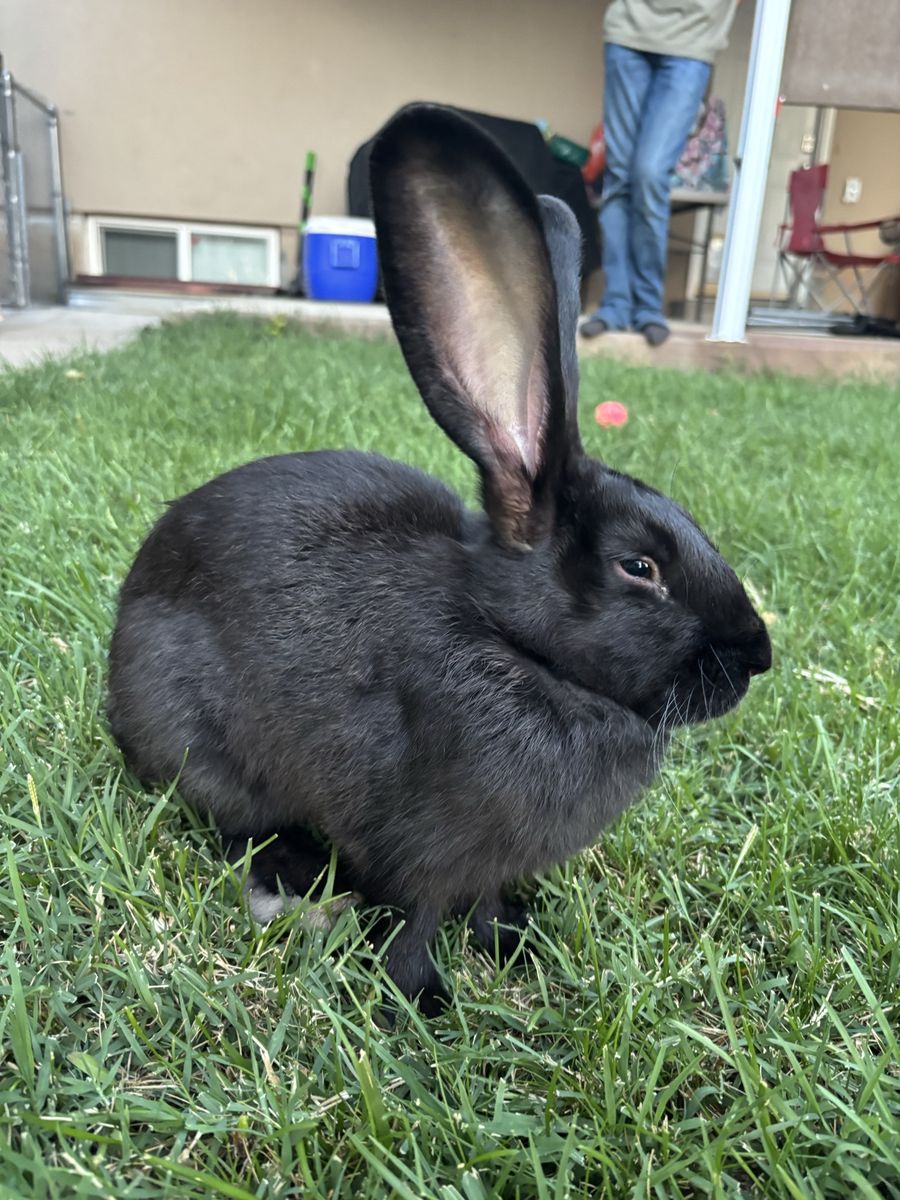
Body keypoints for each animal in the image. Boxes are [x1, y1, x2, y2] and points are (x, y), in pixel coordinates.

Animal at [108, 103, 771, 1015]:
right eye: (640, 567)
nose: (758, 656)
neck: (514, 645)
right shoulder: (412, 849)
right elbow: (414, 919)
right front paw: (423, 1003)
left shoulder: (483, 863)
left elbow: (484, 901)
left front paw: (515, 942)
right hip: (203, 751)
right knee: (241, 825)